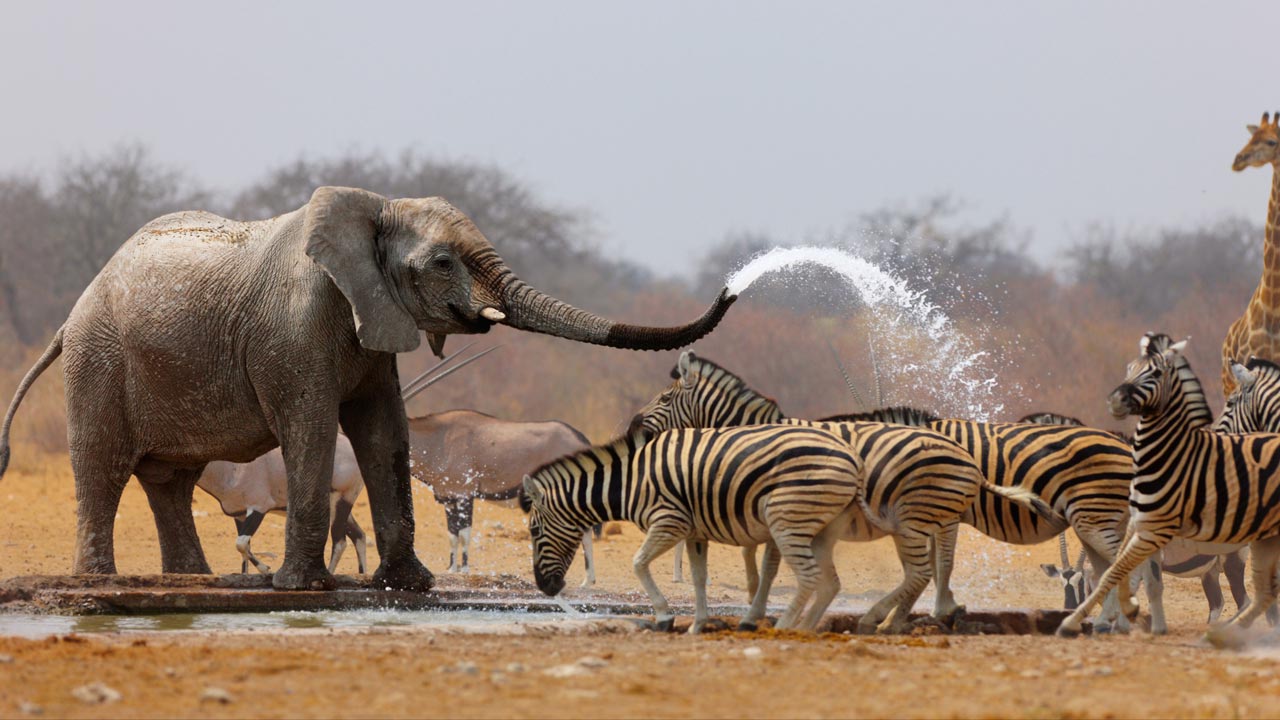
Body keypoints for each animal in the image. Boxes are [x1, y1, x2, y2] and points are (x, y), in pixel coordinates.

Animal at [0, 184, 737, 589]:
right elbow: (313, 427)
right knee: (102, 466)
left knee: (171, 481)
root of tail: (73, 312)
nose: (732, 286)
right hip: (97, 358)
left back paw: (193, 581)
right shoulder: (294, 328)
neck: (375, 209)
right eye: (442, 263)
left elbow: (384, 432)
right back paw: (101, 583)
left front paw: (410, 586)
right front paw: (299, 589)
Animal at [514, 422, 865, 630]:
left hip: (787, 520)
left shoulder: (670, 521)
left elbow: (638, 563)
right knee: (826, 581)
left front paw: (665, 616)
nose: (546, 588)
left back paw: (784, 628)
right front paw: (698, 624)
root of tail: (851, 456)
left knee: (809, 576)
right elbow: (697, 577)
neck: (630, 482)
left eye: (534, 532)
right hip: (816, 527)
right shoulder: (696, 531)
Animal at [634, 351, 1157, 627]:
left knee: (1119, 563)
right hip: (1090, 518)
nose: (635, 425)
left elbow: (769, 564)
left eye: (664, 397)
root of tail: (1117, 440)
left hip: (1091, 514)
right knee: (1111, 564)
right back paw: (1107, 620)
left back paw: (1116, 617)